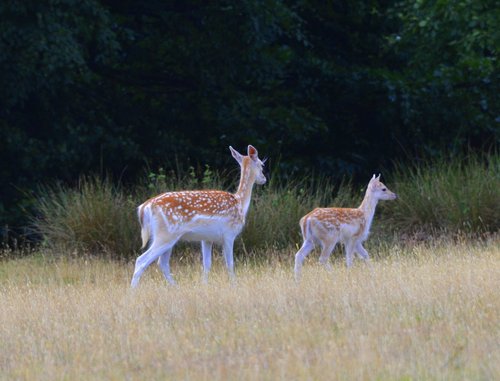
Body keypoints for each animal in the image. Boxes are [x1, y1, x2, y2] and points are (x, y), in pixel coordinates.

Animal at [131, 145, 268, 284]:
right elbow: (230, 264)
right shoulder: (229, 233)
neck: (240, 202)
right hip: (166, 234)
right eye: (261, 165)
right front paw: (234, 285)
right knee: (141, 261)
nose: (264, 179)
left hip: (165, 236)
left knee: (162, 263)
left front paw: (204, 285)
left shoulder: (207, 238)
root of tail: (145, 207)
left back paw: (176, 286)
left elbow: (207, 264)